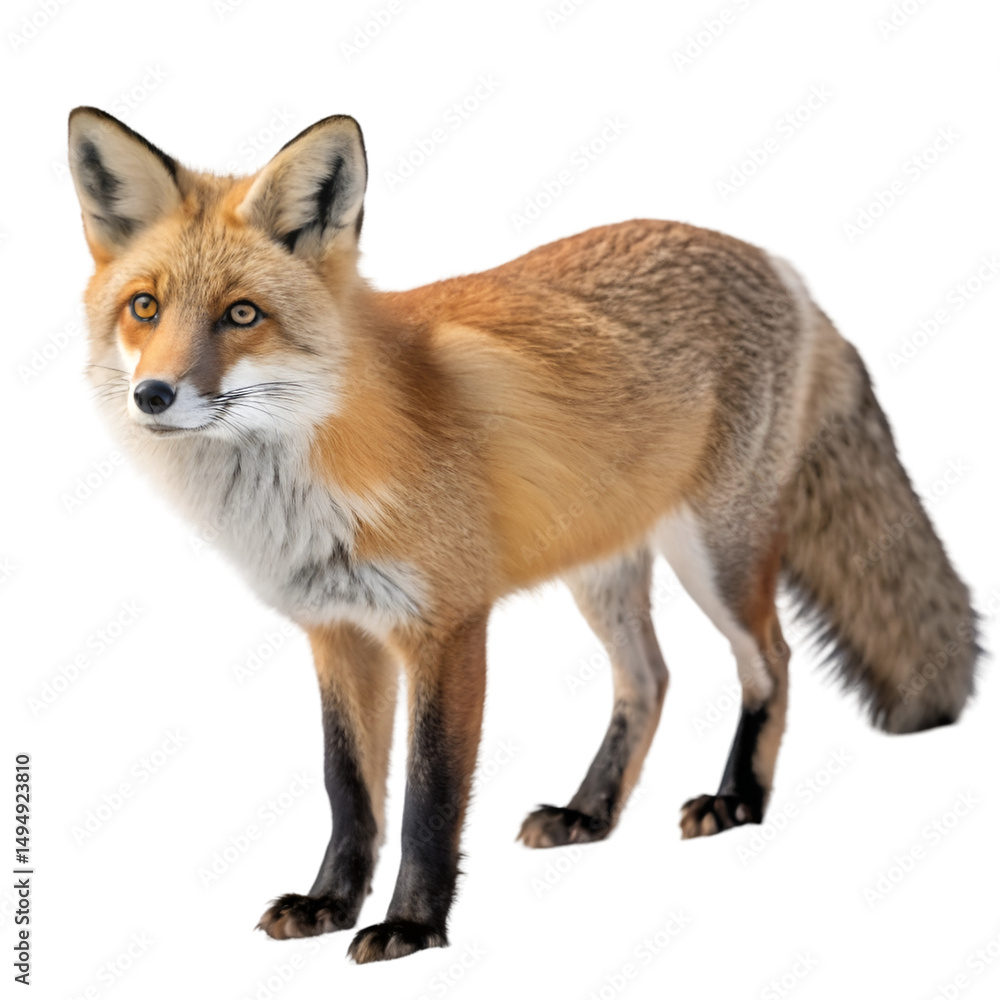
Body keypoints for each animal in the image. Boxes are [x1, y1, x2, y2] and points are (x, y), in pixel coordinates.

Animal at [68, 106, 978, 964]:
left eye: (242, 314)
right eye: (145, 307)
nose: (153, 395)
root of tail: (778, 265)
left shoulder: (448, 626)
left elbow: (430, 797)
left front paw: (411, 926)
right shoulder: (337, 631)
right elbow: (347, 787)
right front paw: (328, 904)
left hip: (717, 555)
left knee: (771, 664)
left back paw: (738, 801)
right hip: (602, 572)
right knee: (649, 681)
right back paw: (589, 812)